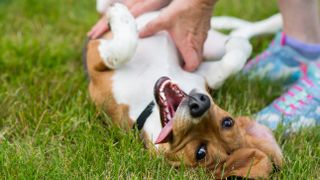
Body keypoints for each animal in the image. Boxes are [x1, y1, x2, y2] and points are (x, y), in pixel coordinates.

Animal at [84, 3, 282, 179]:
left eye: (201, 152)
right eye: (228, 122)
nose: (200, 104)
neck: (148, 103)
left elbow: (123, 49)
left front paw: (119, 16)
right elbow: (232, 60)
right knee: (237, 31)